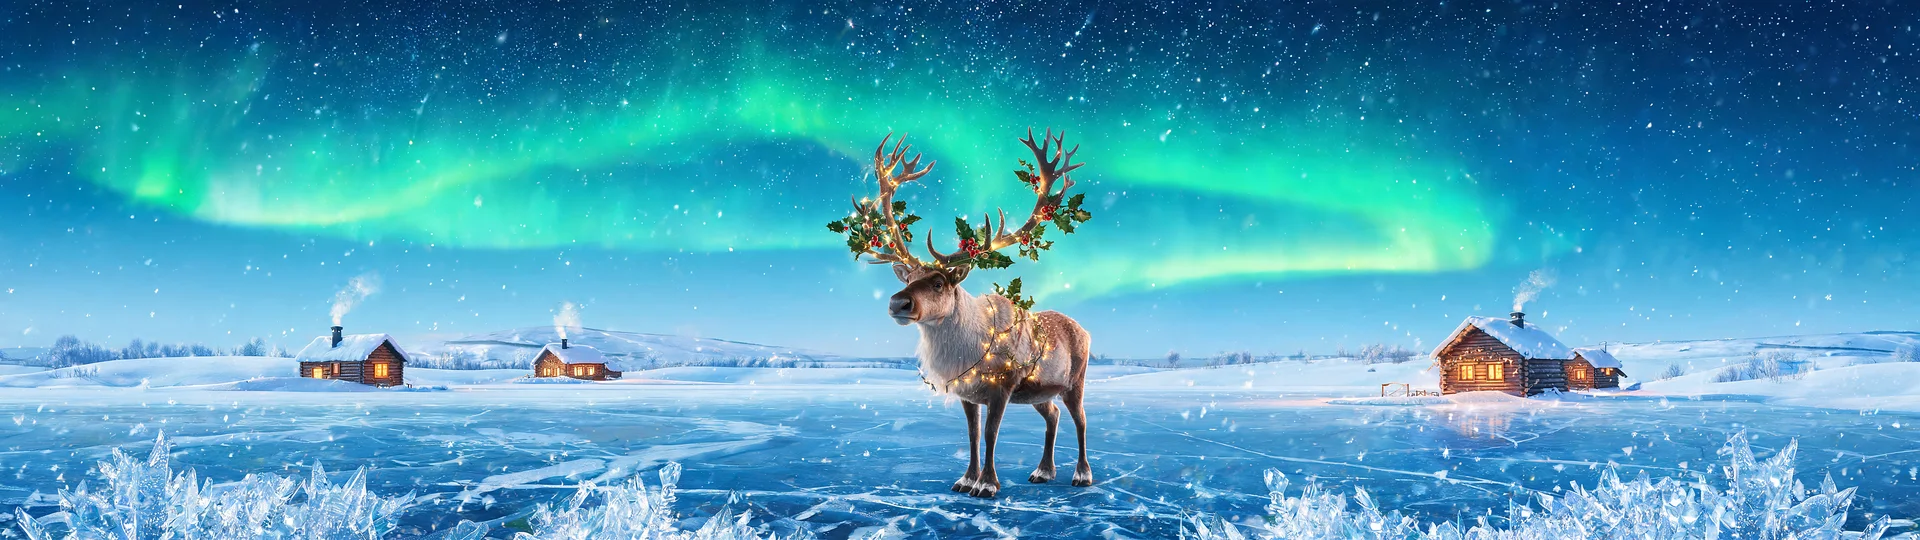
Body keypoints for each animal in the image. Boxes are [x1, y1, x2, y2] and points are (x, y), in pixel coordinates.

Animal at [828, 129, 1095, 498]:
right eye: (907, 279)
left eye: (939, 282)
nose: (898, 303)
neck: (966, 350)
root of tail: (1085, 329)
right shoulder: (967, 392)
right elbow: (972, 434)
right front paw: (966, 479)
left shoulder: (1002, 387)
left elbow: (991, 434)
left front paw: (987, 484)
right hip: (1040, 391)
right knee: (1053, 414)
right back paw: (1043, 471)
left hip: (1075, 380)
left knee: (1081, 419)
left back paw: (1082, 474)